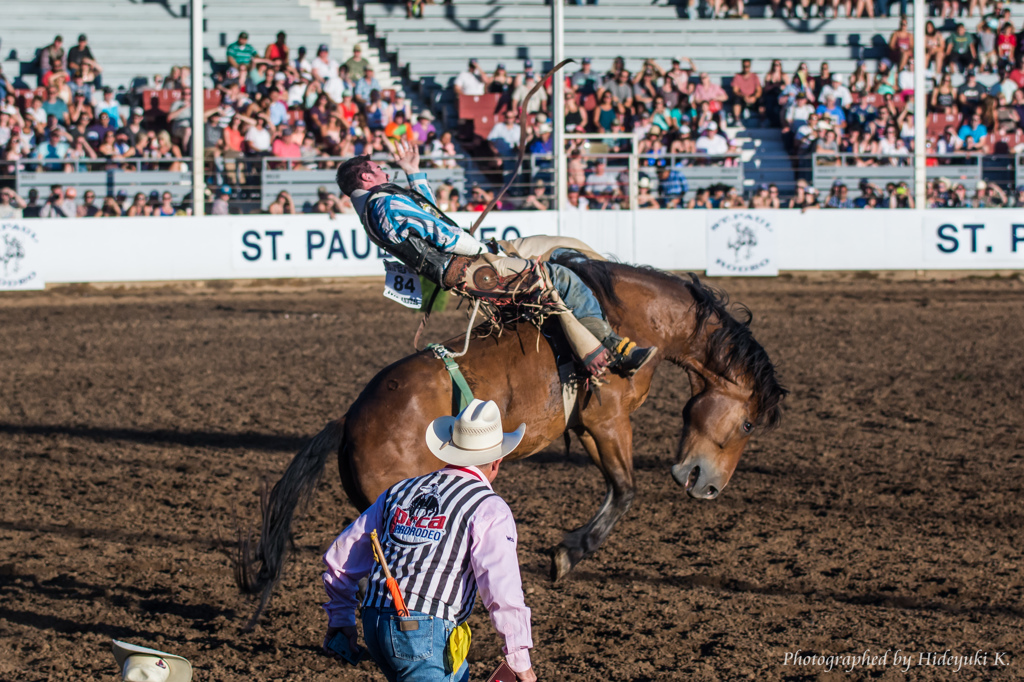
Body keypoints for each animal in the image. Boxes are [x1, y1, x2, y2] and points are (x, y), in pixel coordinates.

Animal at [235, 251, 786, 622]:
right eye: (747, 424)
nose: (708, 486)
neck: (633, 318)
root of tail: (349, 421)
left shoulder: (587, 426)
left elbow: (617, 488)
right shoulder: (608, 421)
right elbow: (626, 490)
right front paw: (568, 554)